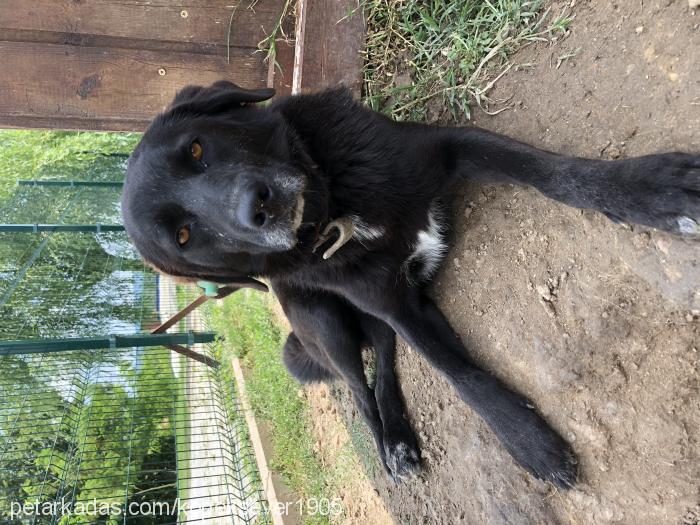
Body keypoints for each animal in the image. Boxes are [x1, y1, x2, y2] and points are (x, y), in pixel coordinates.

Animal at [121, 80, 700, 486]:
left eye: (196, 149)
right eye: (185, 236)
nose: (256, 207)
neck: (335, 208)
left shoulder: (447, 148)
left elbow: (551, 173)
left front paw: (648, 192)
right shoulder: (399, 306)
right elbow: (458, 373)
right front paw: (528, 441)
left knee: (382, 363)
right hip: (322, 321)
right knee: (358, 390)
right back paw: (391, 448)